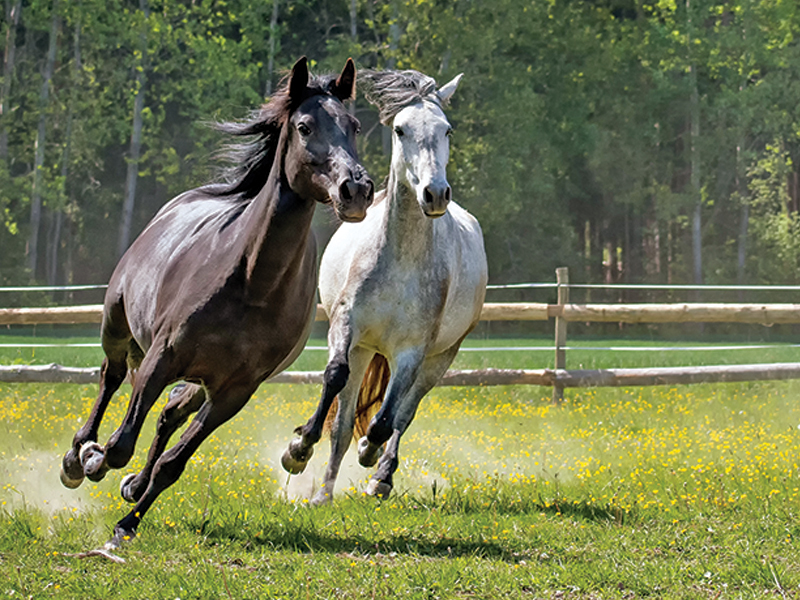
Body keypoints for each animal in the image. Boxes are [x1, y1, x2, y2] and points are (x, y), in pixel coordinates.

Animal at [59, 57, 374, 550]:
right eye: (305, 126)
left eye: (354, 126)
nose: (355, 189)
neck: (252, 283)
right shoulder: (161, 358)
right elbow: (122, 441)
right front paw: (94, 460)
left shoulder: (234, 391)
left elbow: (173, 462)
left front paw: (128, 519)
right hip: (118, 326)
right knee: (111, 377)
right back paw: (77, 457)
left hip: (200, 381)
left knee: (169, 415)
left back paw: (131, 484)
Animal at [281, 69, 488, 504]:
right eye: (400, 129)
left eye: (447, 130)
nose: (435, 194)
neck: (401, 261)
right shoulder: (347, 328)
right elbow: (334, 381)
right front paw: (297, 450)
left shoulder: (413, 352)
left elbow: (386, 419)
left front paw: (370, 453)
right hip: (364, 350)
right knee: (343, 422)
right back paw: (324, 492)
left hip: (438, 359)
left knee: (403, 414)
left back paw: (380, 476)